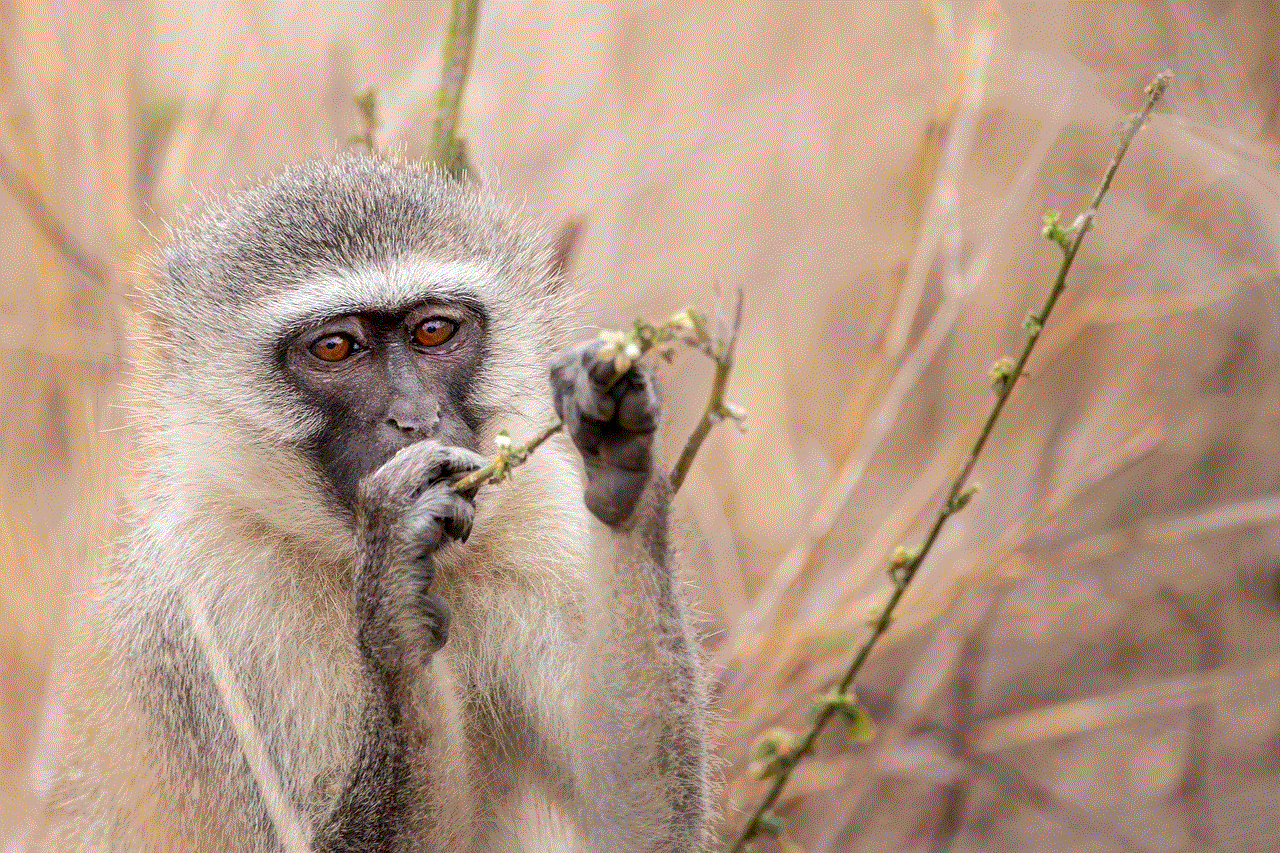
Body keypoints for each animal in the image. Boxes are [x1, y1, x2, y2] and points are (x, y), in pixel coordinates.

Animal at [32, 154, 711, 850]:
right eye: (336, 347)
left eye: (432, 330)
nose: (415, 417)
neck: (338, 548)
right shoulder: (200, 612)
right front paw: (395, 613)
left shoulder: (540, 523)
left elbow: (638, 824)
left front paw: (621, 454)